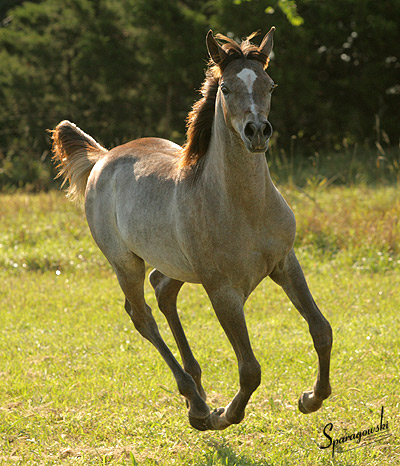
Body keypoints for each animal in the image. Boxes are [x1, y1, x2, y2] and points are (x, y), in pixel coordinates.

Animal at [51, 27, 332, 432]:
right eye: (226, 88)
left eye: (270, 85)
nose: (257, 132)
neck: (243, 208)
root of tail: (103, 157)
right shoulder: (222, 291)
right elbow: (250, 369)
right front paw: (224, 415)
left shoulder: (285, 264)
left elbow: (321, 330)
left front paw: (311, 399)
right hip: (125, 263)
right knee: (141, 315)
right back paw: (197, 405)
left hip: (175, 263)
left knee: (163, 290)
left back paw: (196, 389)